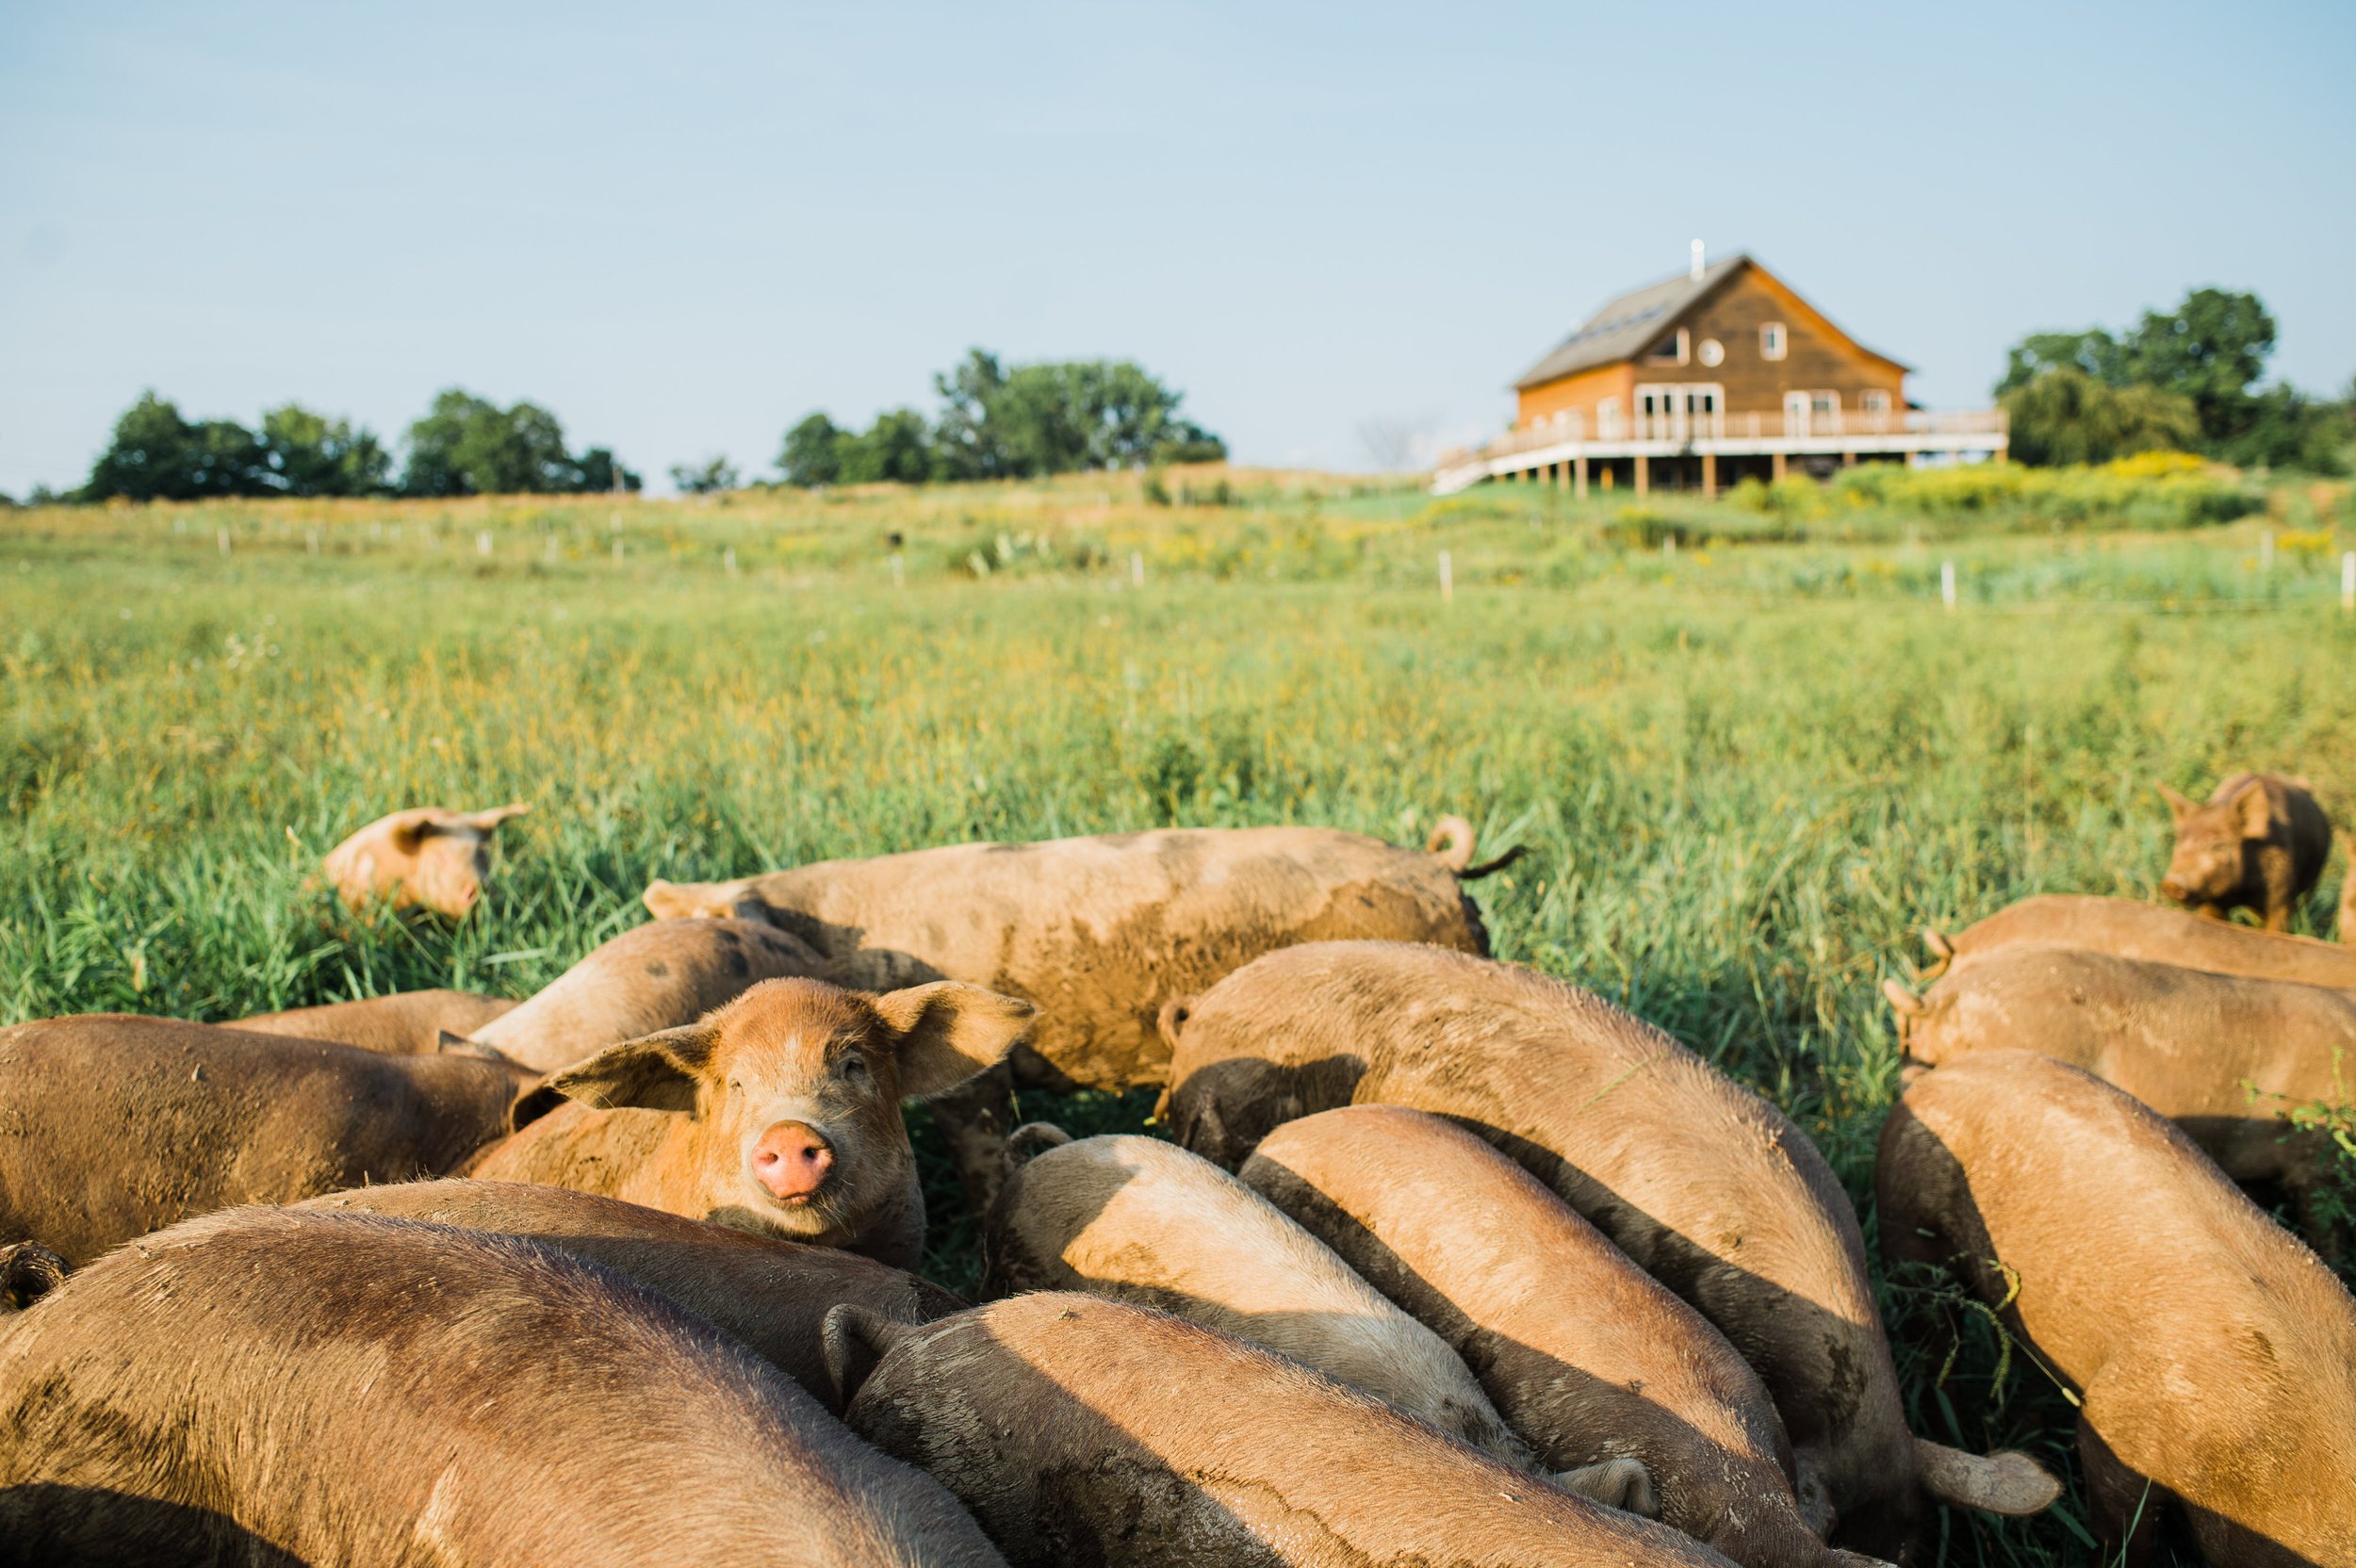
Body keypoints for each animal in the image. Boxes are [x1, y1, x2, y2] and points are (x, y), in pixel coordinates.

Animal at [2157, 772, 2332, 930]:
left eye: (2218, 846)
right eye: (2179, 842)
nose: (2171, 883)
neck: (2241, 890)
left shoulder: (2281, 893)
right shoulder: (2212, 899)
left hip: (2314, 878)